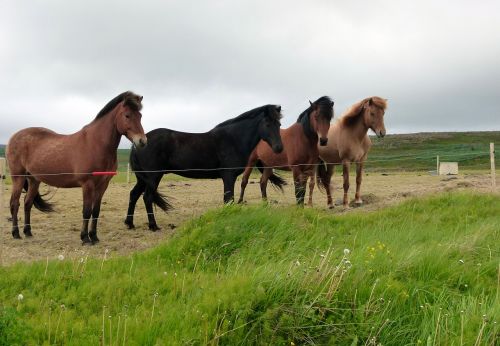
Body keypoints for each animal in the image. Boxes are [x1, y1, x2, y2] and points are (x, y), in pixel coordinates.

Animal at [5, 90, 146, 245]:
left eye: (140, 116)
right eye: (127, 115)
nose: (142, 141)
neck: (95, 143)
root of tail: (13, 137)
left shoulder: (102, 185)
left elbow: (96, 211)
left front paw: (94, 236)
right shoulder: (87, 185)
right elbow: (87, 211)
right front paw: (85, 238)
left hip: (34, 180)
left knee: (27, 203)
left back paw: (28, 232)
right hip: (18, 178)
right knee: (15, 203)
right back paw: (16, 233)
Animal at [123, 104, 284, 231]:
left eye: (279, 125)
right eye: (268, 124)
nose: (279, 148)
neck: (233, 139)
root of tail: (139, 143)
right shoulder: (228, 176)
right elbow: (228, 199)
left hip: (143, 178)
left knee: (133, 195)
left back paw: (130, 223)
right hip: (153, 177)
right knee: (147, 197)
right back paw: (153, 226)